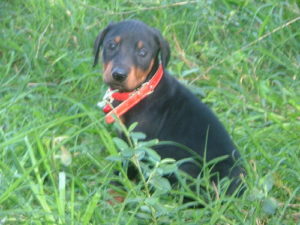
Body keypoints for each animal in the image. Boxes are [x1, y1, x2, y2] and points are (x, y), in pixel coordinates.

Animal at [93, 19, 244, 197]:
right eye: (111, 45)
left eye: (142, 52)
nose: (119, 75)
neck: (141, 92)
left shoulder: (139, 143)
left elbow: (127, 167)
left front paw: (114, 192)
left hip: (187, 168)